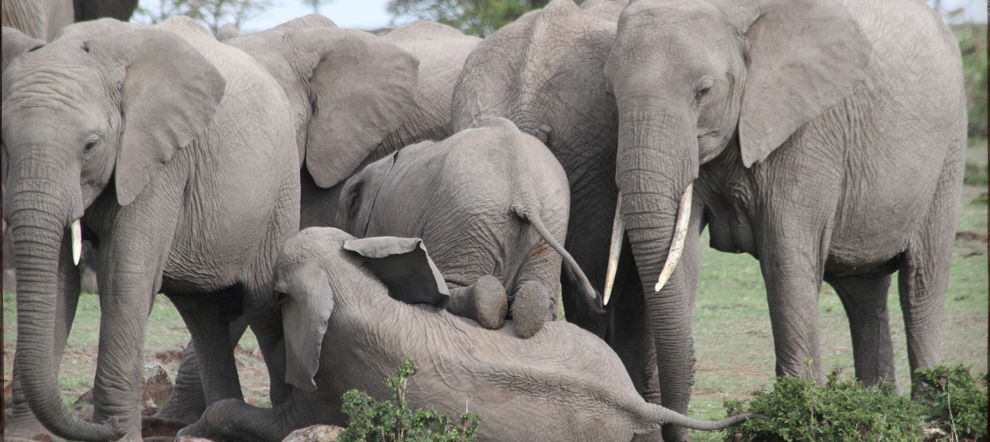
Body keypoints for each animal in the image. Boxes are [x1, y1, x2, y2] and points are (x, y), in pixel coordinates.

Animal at [2, 16, 300, 441]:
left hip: (281, 190)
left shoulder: (160, 159)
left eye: (91, 146)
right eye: (5, 144)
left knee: (260, 306)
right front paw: (27, 436)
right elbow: (60, 281)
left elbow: (125, 275)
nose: (106, 425)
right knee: (203, 316)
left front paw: (120, 432)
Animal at [180, 227, 763, 441]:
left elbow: (280, 423)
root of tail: (632, 400)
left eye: (279, 294)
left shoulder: (339, 386)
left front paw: (196, 428)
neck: (352, 289)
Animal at [601, 0, 966, 438]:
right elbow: (681, 253)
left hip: (949, 151)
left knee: (922, 282)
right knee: (864, 292)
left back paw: (931, 416)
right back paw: (880, 408)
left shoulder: (809, 129)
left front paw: (799, 415)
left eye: (703, 91)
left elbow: (784, 255)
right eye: (611, 94)